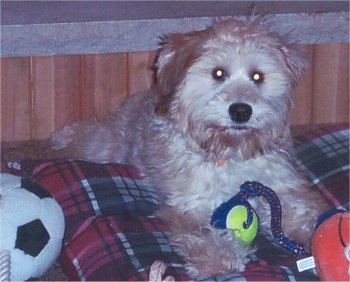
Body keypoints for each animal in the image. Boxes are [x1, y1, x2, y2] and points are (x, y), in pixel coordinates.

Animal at [50, 18, 330, 278]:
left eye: (257, 76)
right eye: (218, 73)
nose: (241, 111)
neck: (229, 153)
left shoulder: (284, 191)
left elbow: (306, 214)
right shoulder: (190, 206)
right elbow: (202, 234)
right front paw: (220, 260)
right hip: (106, 145)